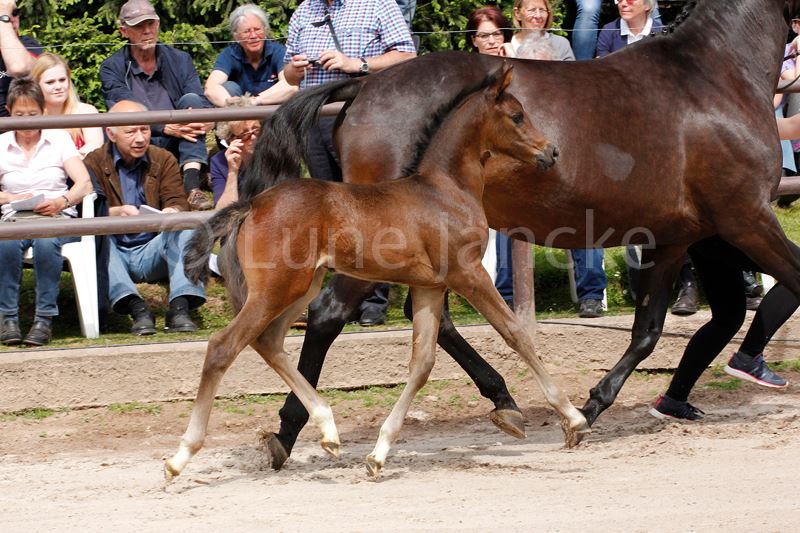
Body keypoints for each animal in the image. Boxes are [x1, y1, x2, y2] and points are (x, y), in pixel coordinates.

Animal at [164, 66, 588, 478]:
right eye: (517, 116)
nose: (551, 151)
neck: (445, 189)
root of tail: (251, 205)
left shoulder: (431, 287)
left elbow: (422, 364)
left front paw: (379, 454)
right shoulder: (468, 275)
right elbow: (516, 334)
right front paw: (573, 420)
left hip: (299, 288)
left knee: (268, 342)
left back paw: (328, 430)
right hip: (275, 290)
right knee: (223, 347)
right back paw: (180, 457)